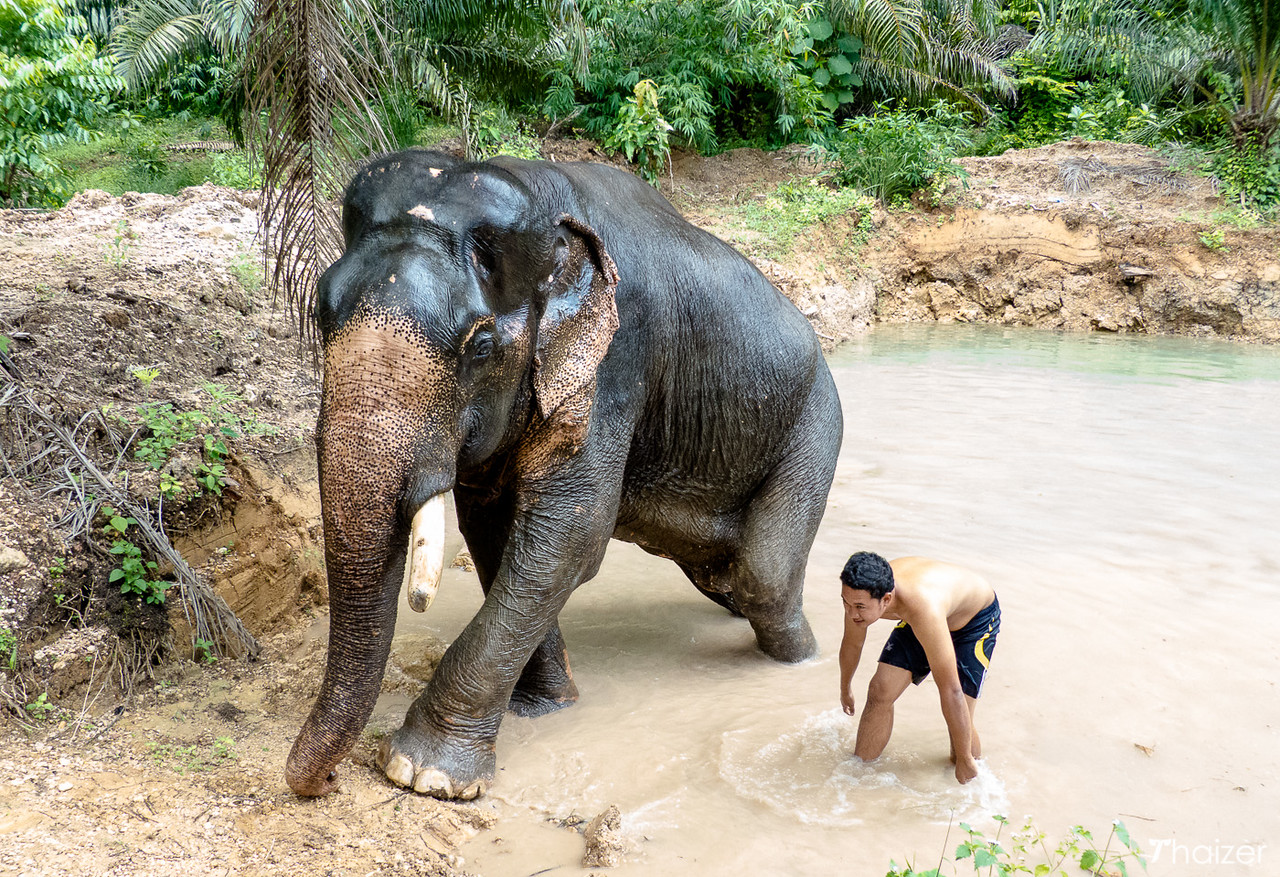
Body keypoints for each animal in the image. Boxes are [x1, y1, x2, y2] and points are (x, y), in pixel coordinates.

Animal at [284, 148, 843, 800]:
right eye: (320, 314)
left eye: (480, 346)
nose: (322, 783)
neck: (542, 197)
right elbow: (496, 532)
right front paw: (545, 707)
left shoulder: (617, 358)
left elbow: (571, 533)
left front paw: (424, 773)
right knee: (730, 578)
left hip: (817, 423)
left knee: (765, 577)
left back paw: (802, 665)